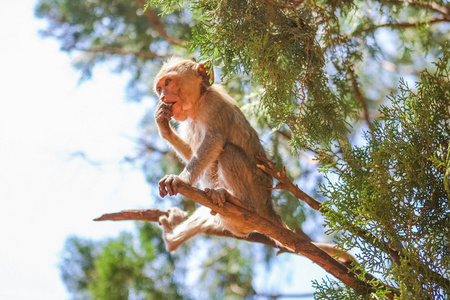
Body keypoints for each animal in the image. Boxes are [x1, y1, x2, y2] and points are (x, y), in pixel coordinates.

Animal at [153, 57, 356, 264]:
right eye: (159, 88)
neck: (198, 105)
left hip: (257, 190)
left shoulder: (213, 105)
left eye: (168, 83)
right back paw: (172, 239)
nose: (162, 97)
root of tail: (267, 206)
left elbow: (214, 142)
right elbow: (193, 153)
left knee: (228, 152)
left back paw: (241, 202)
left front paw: (181, 179)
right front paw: (164, 127)